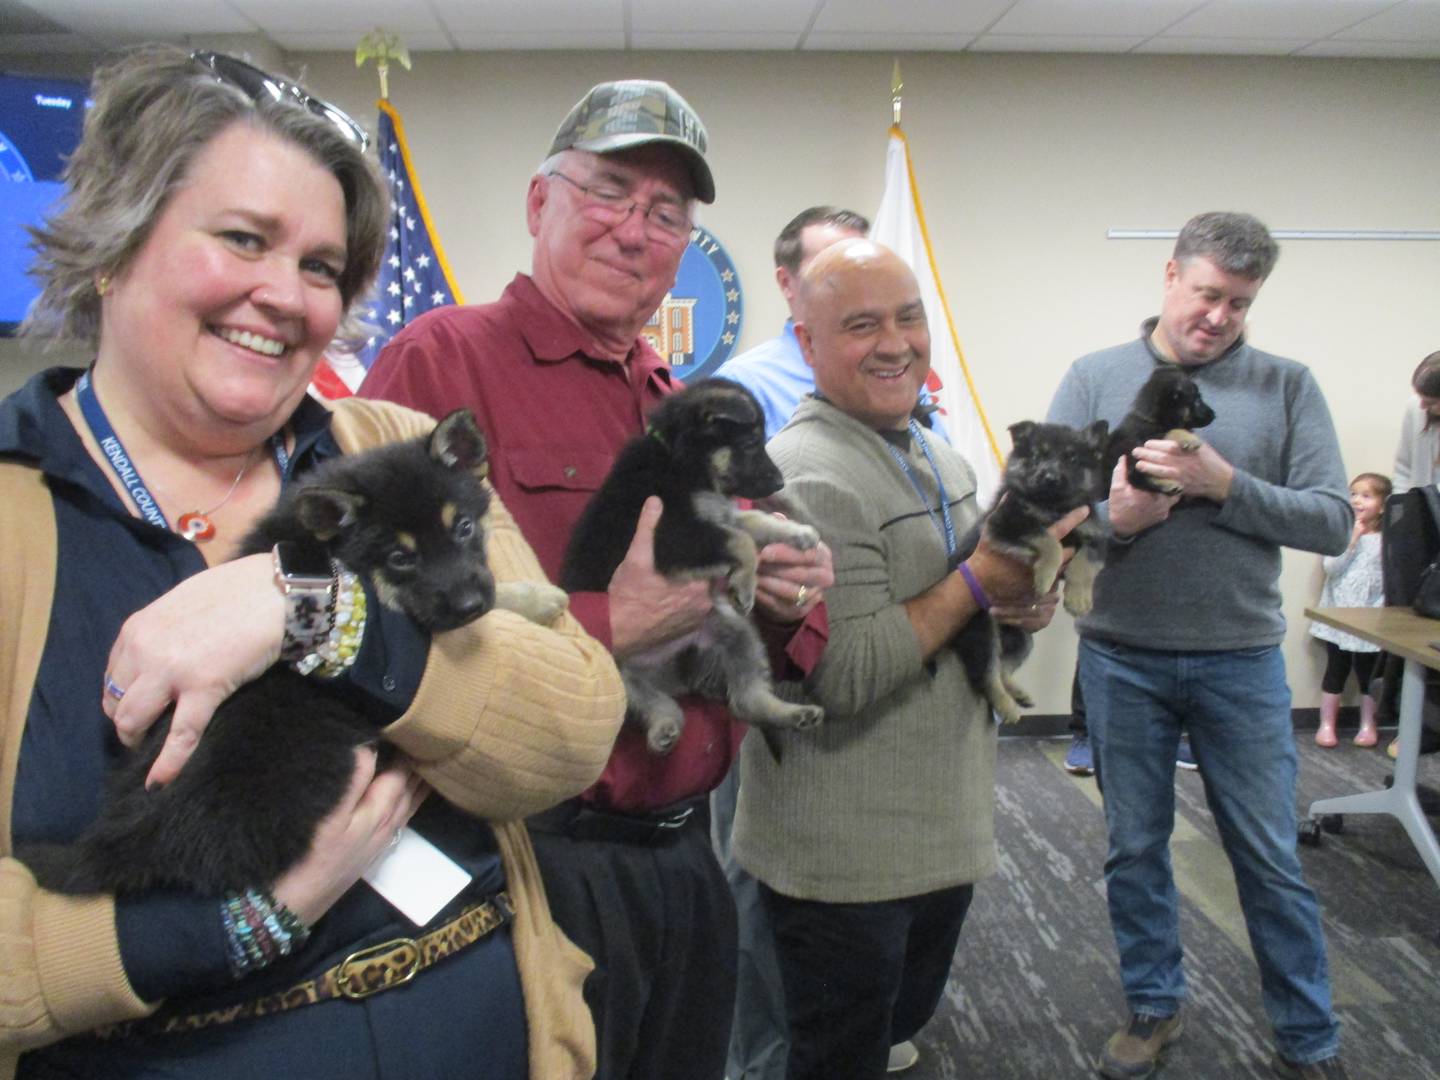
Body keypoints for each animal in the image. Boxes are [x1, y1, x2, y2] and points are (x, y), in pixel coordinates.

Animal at [23, 408, 561, 898]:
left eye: (465, 527)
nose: (470, 604)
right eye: (399, 558)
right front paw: (534, 599)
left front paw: (532, 597)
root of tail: (126, 833)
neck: (328, 544)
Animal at [564, 385, 829, 754]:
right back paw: (663, 728)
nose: (779, 484)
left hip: (736, 633)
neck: (681, 463)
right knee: (652, 701)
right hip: (615, 675)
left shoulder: (720, 516)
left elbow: (753, 522)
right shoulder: (673, 537)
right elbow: (740, 541)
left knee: (745, 699)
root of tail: (672, 674)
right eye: (751, 443)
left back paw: (791, 714)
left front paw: (799, 533)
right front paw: (744, 584)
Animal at [956, 417, 1111, 722]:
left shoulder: (1094, 536)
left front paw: (1078, 599)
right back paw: (1006, 706)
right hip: (984, 632)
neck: (1053, 507)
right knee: (987, 674)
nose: (1049, 477)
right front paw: (1044, 576)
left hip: (1022, 638)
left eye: (1071, 459)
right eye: (1038, 456)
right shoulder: (1006, 523)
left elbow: (1084, 562)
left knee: (1003, 667)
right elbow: (1048, 539)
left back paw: (1018, 694)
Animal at [1100, 365, 1215, 498]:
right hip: (1128, 451)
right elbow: (1172, 431)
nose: (1214, 415)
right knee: (1137, 476)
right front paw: (1189, 439)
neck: (1153, 419)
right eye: (1197, 400)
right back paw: (1167, 484)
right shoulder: (1148, 438)